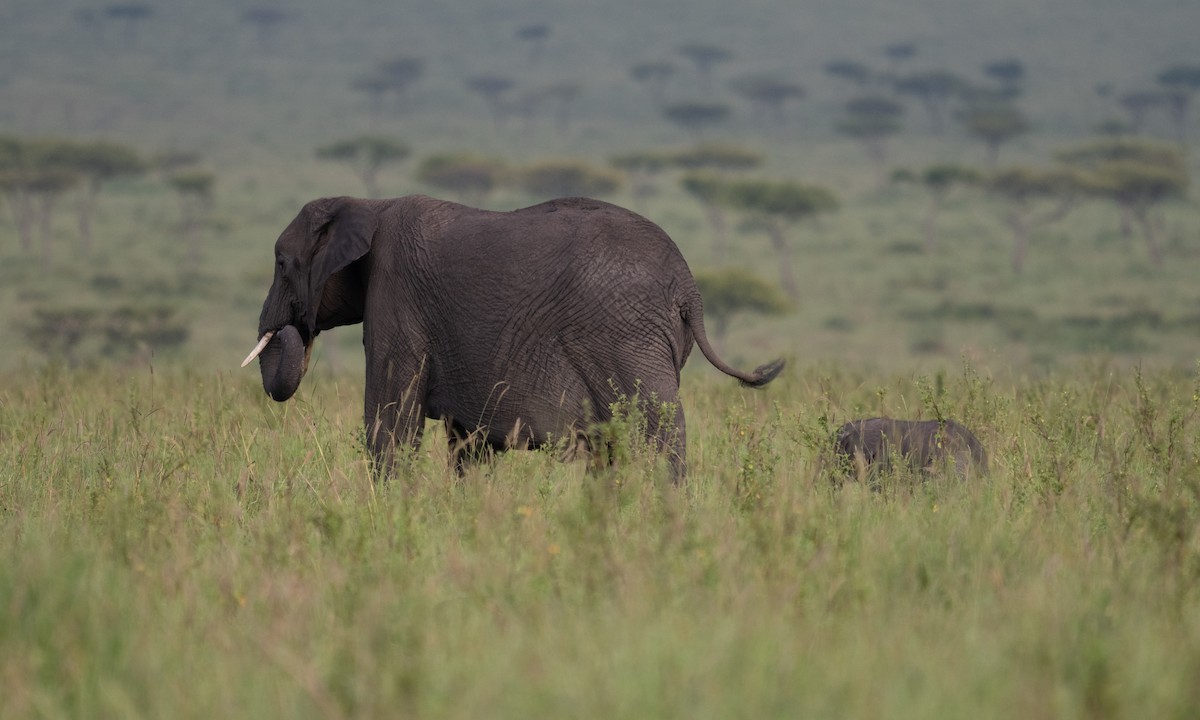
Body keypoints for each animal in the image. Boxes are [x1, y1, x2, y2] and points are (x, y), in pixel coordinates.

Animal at [242, 194, 785, 480]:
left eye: (281, 264)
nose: (290, 330)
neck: (369, 206)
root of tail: (689, 288)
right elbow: (467, 439)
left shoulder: (395, 297)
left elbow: (390, 419)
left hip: (628, 338)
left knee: (656, 425)